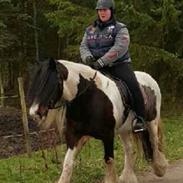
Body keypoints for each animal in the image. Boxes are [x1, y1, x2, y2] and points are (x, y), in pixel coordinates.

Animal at [28, 58, 167, 183]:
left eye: (49, 82)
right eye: (34, 83)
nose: (34, 113)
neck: (89, 98)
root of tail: (149, 77)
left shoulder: (108, 136)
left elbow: (109, 160)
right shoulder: (74, 136)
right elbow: (67, 163)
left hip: (152, 121)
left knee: (154, 143)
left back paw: (160, 169)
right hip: (124, 129)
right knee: (129, 149)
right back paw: (127, 177)